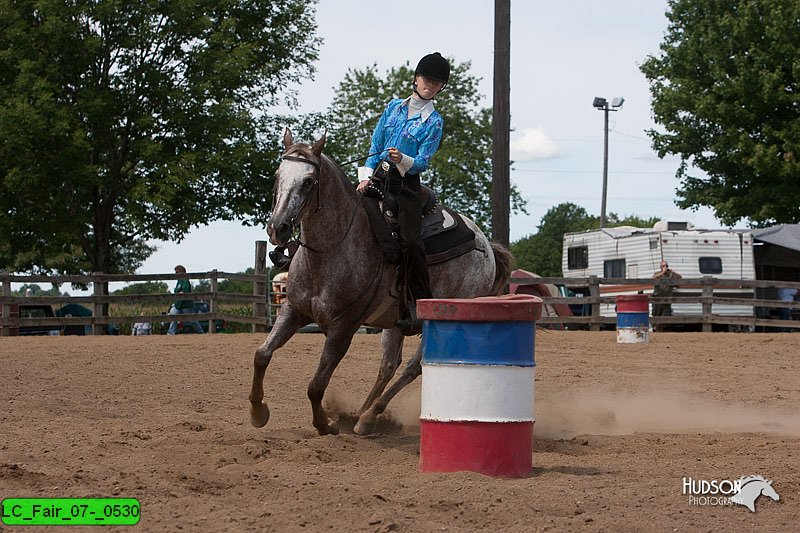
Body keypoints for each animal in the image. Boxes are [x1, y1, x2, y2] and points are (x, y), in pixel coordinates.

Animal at [250, 130, 512, 436]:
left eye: (308, 181)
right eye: (277, 175)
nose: (277, 227)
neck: (333, 248)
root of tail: (486, 245)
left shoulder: (343, 328)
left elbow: (316, 385)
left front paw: (326, 425)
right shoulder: (293, 311)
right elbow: (262, 354)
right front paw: (258, 412)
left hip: (441, 319)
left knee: (413, 367)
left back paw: (369, 416)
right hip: (395, 321)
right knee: (389, 364)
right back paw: (361, 413)